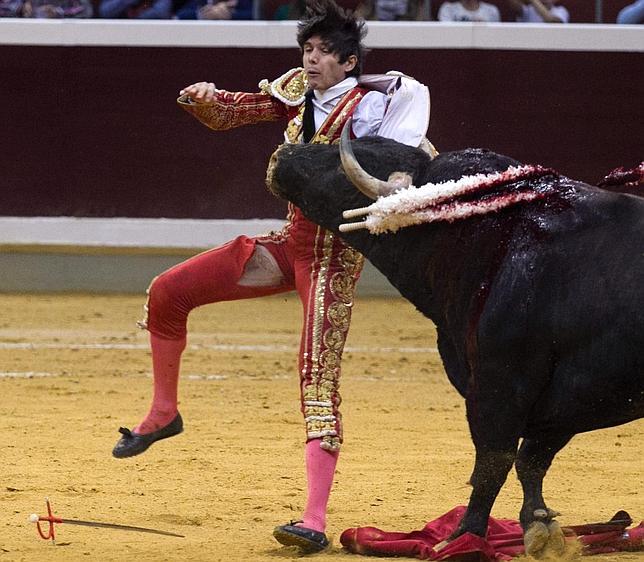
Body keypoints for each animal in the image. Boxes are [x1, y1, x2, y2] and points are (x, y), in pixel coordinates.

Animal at [266, 128, 644, 556]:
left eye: (345, 162)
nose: (281, 155)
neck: (492, 235)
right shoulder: (568, 397)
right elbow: (531, 459)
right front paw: (539, 526)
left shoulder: (502, 382)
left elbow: (494, 462)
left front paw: (463, 535)